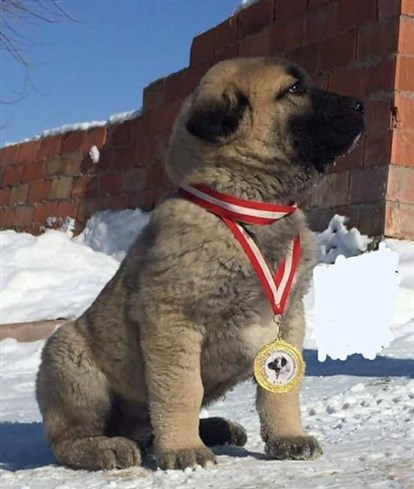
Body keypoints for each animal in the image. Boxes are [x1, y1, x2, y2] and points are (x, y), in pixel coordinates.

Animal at [36, 57, 366, 468]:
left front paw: (288, 437)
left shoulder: (288, 321)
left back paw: (215, 428)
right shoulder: (173, 321)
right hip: (69, 360)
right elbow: (181, 390)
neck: (247, 212)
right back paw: (107, 446)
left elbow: (280, 392)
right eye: (294, 89)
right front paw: (182, 449)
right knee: (68, 439)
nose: (361, 105)